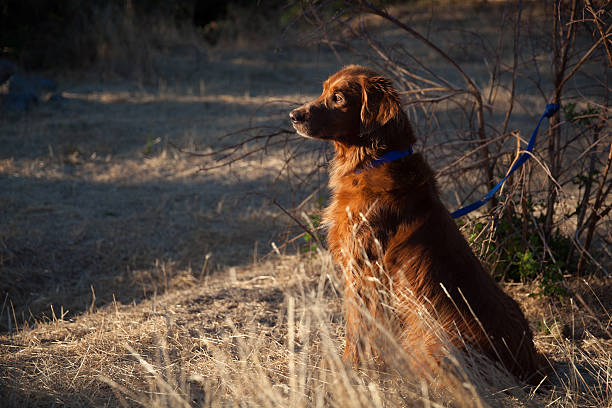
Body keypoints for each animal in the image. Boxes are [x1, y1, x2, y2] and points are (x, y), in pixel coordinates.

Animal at [290, 63, 548, 382]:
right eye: (323, 90)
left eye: (338, 98)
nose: (293, 116)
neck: (372, 160)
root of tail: (530, 366)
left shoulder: (363, 274)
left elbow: (357, 331)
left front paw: (349, 372)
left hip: (429, 337)